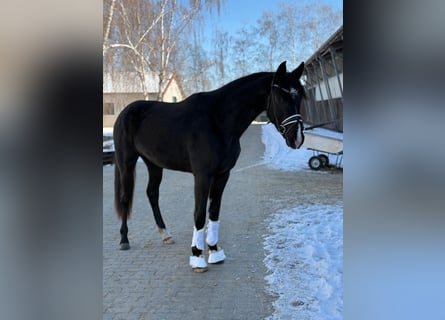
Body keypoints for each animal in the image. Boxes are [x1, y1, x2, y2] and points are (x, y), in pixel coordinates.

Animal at [113, 61, 306, 272]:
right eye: (280, 97)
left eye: (300, 97)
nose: (297, 138)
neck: (218, 120)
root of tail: (125, 112)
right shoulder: (202, 175)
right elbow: (199, 214)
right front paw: (197, 257)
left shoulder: (222, 174)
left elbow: (214, 212)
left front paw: (214, 251)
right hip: (126, 161)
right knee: (125, 197)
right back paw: (124, 240)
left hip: (154, 164)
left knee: (152, 194)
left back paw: (165, 234)